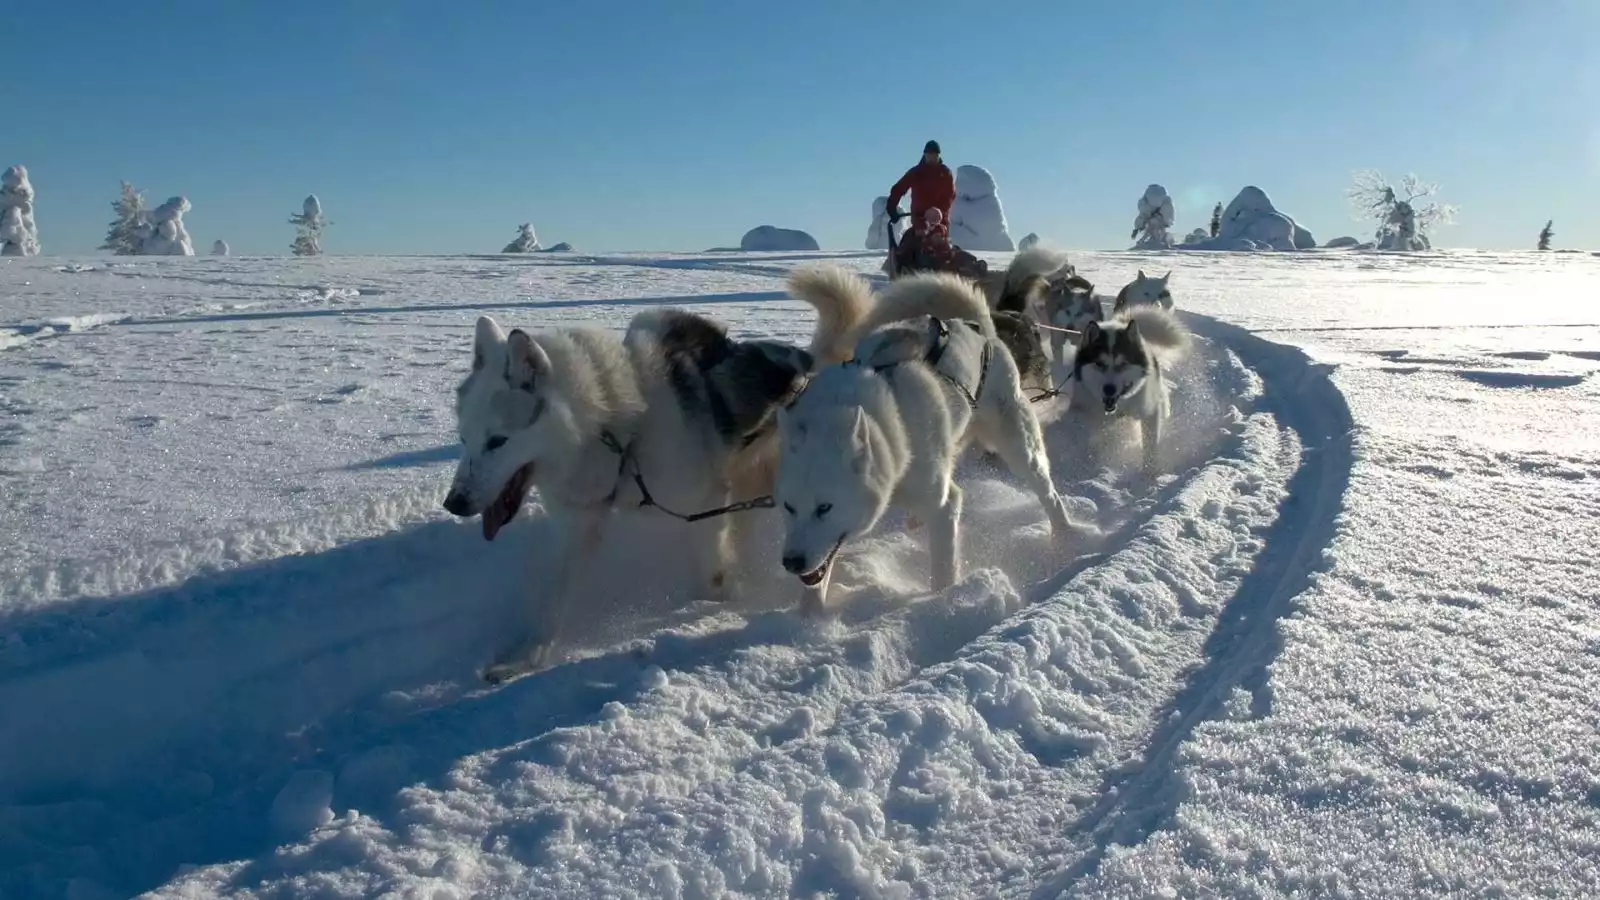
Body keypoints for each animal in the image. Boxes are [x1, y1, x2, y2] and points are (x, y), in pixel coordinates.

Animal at [441, 294, 864, 679]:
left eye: (497, 441)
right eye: (464, 439)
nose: (454, 503)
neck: (619, 427)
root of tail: (810, 365)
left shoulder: (707, 502)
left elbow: (712, 578)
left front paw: (726, 603)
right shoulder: (581, 524)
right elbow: (554, 600)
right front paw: (528, 657)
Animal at [771, 269, 1081, 611]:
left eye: (824, 507)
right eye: (788, 507)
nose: (791, 562)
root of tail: (977, 327)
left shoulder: (944, 507)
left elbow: (943, 567)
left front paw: (942, 603)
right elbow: (819, 575)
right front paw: (810, 617)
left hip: (1018, 447)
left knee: (1047, 493)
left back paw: (1067, 536)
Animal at [1062, 302, 1190, 474]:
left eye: (1122, 364)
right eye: (1099, 364)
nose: (1109, 389)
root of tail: (1120, 323)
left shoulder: (1149, 412)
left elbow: (1150, 447)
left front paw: (1149, 473)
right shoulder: (1086, 409)